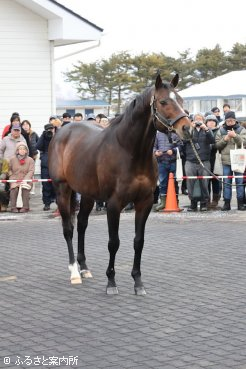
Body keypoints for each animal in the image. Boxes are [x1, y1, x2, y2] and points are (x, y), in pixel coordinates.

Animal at [48, 73, 190, 294]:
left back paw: (84, 268)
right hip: (62, 189)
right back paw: (74, 272)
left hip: (87, 194)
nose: (187, 128)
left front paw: (138, 282)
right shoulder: (114, 204)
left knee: (81, 225)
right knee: (68, 229)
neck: (130, 151)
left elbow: (138, 241)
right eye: (163, 102)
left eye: (182, 100)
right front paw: (111, 282)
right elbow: (113, 243)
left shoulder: (144, 202)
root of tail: (62, 131)